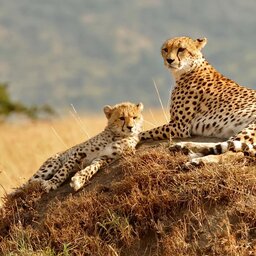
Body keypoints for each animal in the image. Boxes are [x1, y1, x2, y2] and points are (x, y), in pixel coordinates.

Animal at [140, 36, 256, 166]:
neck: (190, 68)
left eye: (181, 49)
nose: (169, 60)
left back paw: (196, 159)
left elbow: (144, 132)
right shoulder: (178, 125)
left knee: (234, 152)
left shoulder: (179, 126)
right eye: (165, 49)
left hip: (251, 127)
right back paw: (185, 148)